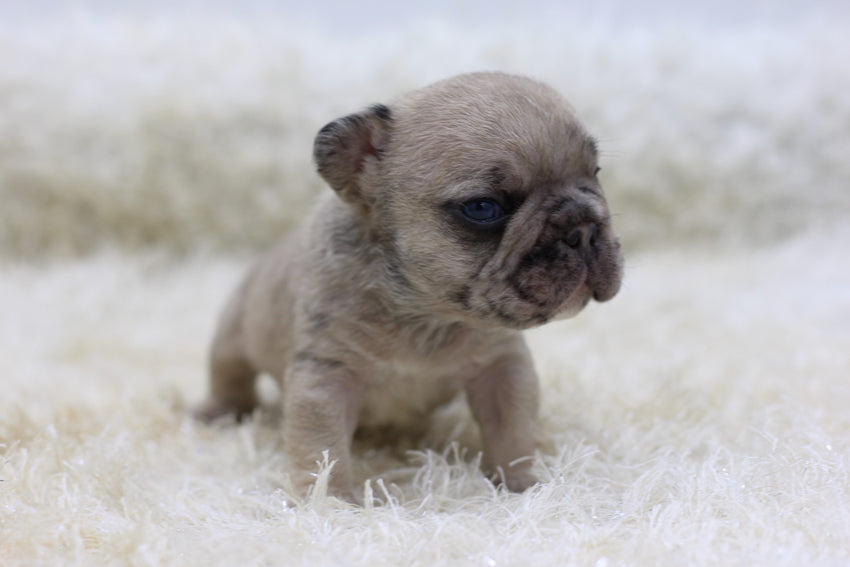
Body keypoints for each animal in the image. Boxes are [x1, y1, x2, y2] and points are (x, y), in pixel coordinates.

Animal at [197, 72, 624, 502]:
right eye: (483, 208)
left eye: (596, 172)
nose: (582, 228)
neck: (426, 312)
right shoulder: (325, 377)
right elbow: (323, 451)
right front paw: (331, 504)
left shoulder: (502, 368)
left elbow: (512, 433)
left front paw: (519, 486)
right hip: (233, 334)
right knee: (229, 375)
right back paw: (216, 412)